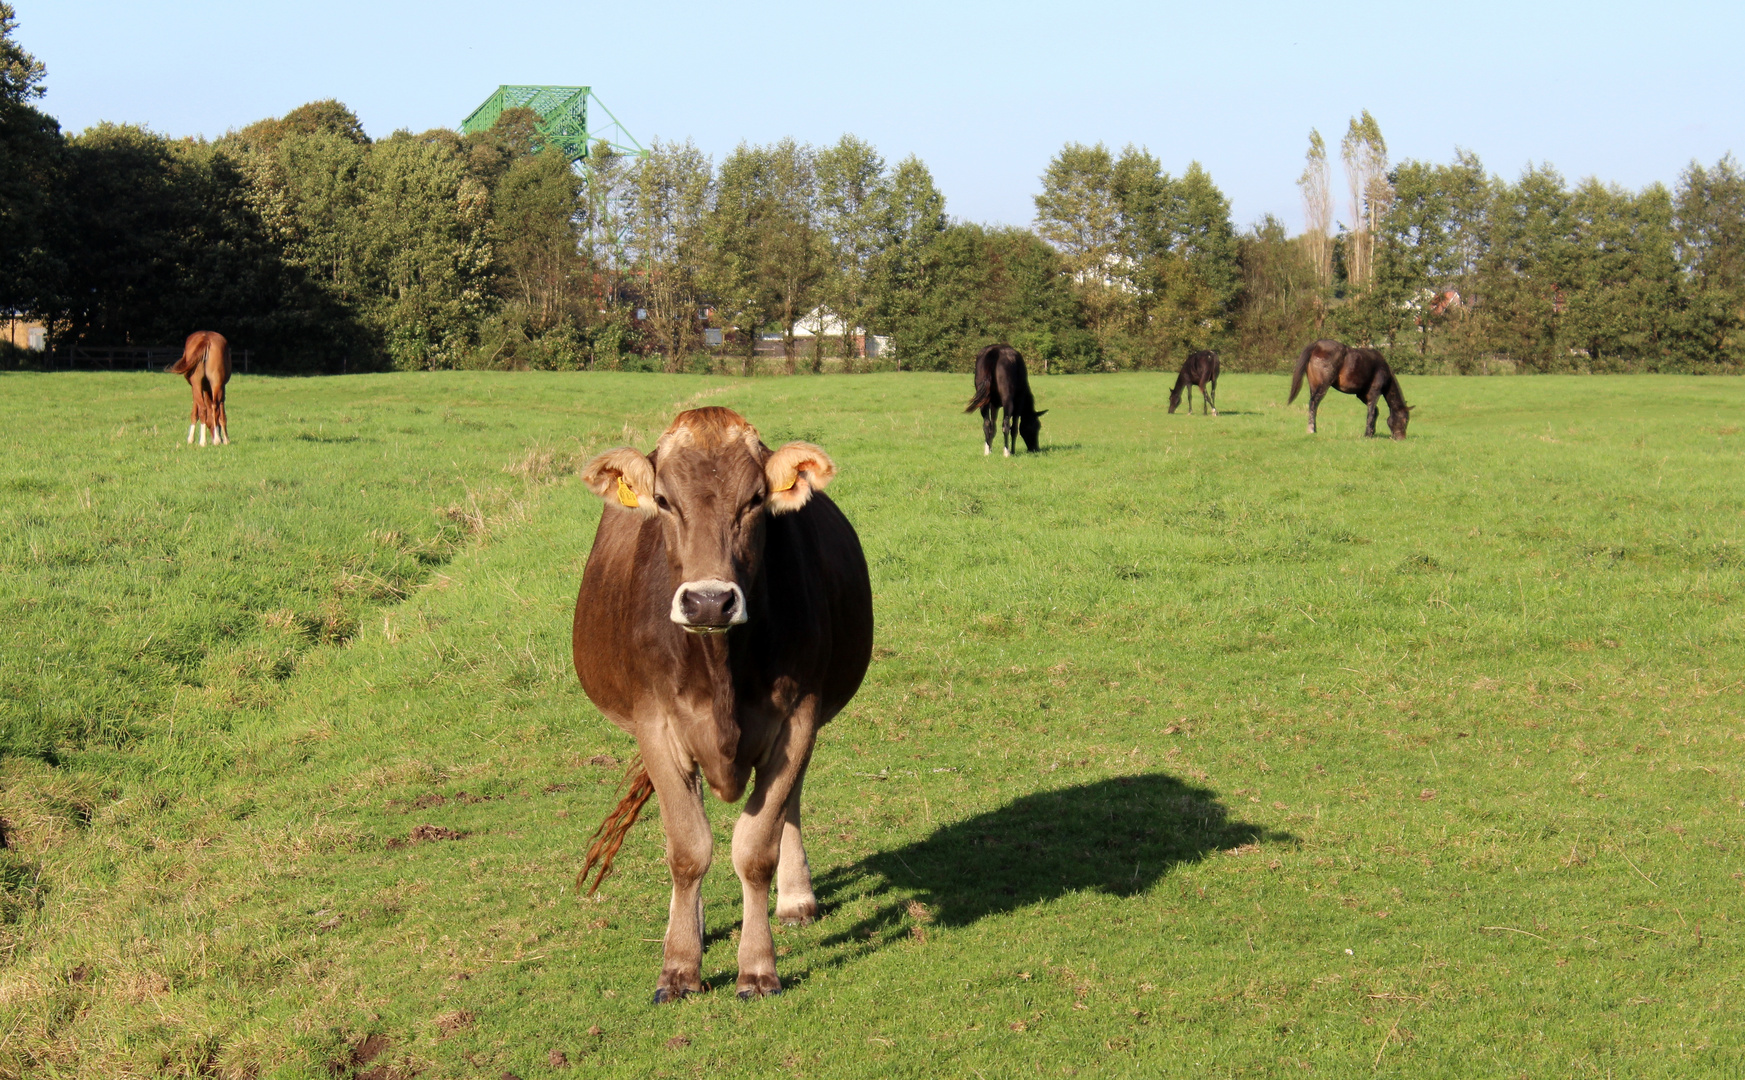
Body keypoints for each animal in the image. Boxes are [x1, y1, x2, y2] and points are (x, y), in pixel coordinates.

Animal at [568, 408, 872, 1004]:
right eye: (664, 500)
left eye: (754, 500)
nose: (709, 601)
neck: (720, 666)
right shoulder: (656, 726)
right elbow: (688, 849)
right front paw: (679, 965)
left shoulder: (798, 718)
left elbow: (755, 848)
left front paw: (757, 967)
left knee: (788, 807)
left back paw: (795, 899)